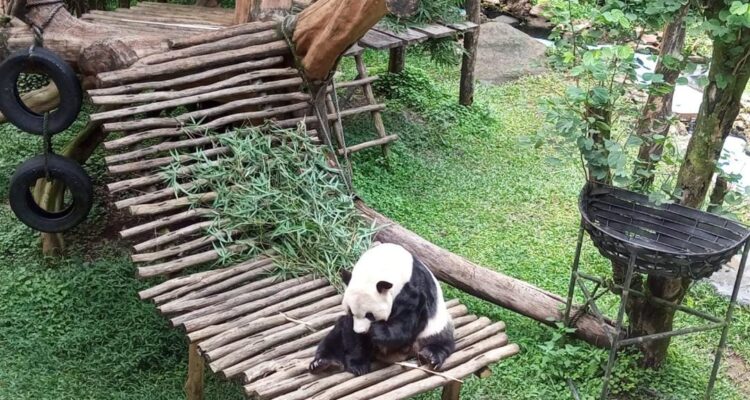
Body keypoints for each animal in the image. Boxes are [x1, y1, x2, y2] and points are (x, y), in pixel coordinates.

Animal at [309, 243, 455, 376]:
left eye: (370, 315)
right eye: (351, 312)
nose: (361, 331)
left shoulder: (412, 290)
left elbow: (407, 320)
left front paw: (377, 332)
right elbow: (351, 332)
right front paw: (358, 364)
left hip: (434, 326)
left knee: (441, 338)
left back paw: (431, 355)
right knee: (336, 334)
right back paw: (323, 363)